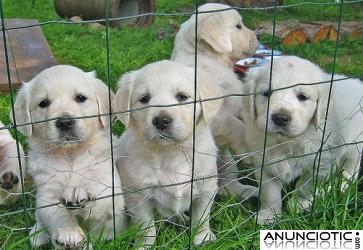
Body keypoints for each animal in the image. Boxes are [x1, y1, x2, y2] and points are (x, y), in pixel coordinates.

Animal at [12, 65, 126, 249]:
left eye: (80, 98)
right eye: (43, 103)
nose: (64, 122)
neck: (70, 154)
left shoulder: (110, 183)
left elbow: (103, 197)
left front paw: (77, 194)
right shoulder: (47, 193)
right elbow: (55, 213)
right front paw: (69, 233)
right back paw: (39, 236)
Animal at [112, 60, 223, 248]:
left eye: (182, 97)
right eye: (144, 99)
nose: (161, 121)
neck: (171, 151)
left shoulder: (206, 187)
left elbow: (201, 217)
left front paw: (203, 238)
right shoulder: (138, 197)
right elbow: (146, 228)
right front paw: (144, 246)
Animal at [172, 2, 260, 199]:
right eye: (238, 26)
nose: (257, 37)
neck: (206, 58)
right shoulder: (212, 116)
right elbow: (235, 124)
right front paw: (250, 150)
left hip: (225, 160)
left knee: (227, 183)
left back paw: (246, 191)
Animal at [242, 55, 363, 224]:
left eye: (303, 97)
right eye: (267, 93)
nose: (280, 118)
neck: (288, 141)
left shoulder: (320, 162)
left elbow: (306, 186)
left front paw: (298, 206)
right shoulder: (264, 163)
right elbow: (269, 193)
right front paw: (269, 216)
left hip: (354, 147)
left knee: (350, 169)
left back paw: (342, 187)